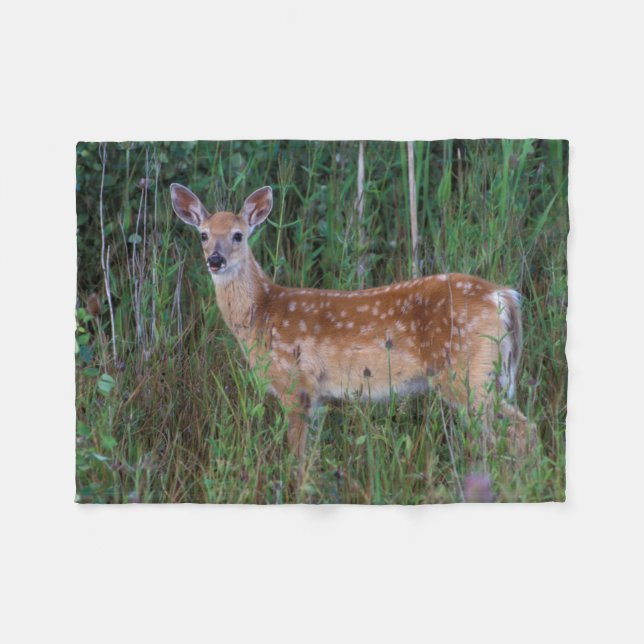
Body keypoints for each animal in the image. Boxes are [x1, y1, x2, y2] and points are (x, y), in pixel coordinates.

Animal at [170, 183, 536, 462]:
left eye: (238, 235)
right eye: (203, 234)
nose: (215, 260)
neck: (263, 313)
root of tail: (503, 296)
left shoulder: (295, 385)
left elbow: (296, 459)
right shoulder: (317, 396)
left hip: (467, 374)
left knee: (510, 433)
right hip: (487, 375)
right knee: (521, 429)